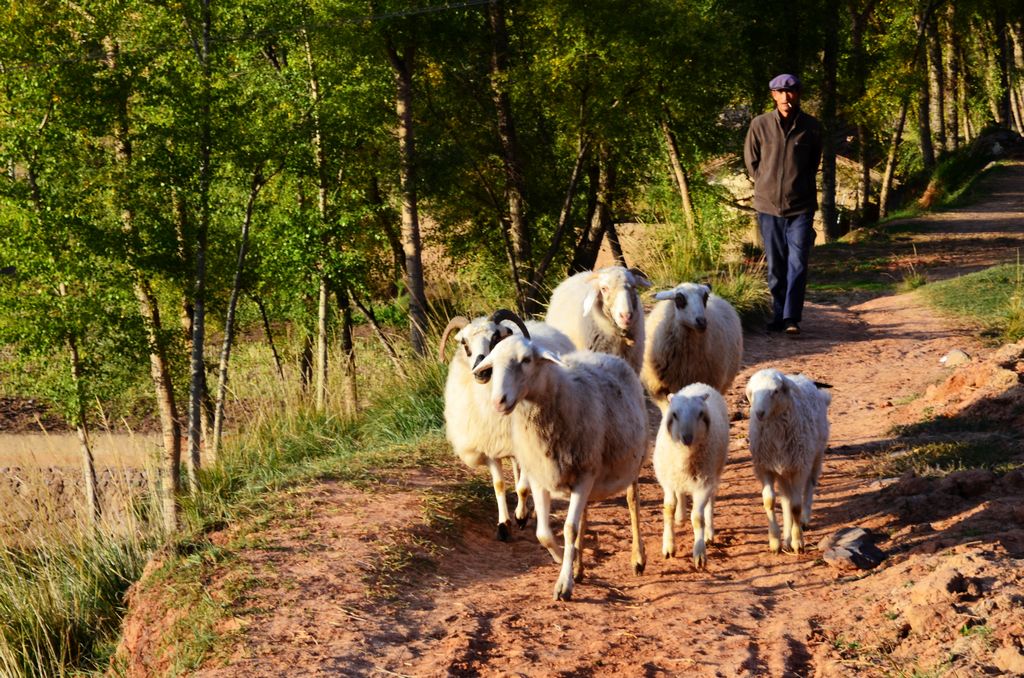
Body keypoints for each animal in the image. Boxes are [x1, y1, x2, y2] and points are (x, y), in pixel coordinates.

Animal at [438, 309, 577, 540]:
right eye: (464, 343)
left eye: (495, 337)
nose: (480, 372)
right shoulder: (490, 445)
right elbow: (499, 485)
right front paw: (503, 524)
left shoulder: (529, 444)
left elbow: (522, 488)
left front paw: (521, 516)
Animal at [473, 337, 647, 602]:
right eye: (493, 364)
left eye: (526, 360)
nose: (498, 401)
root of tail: (608, 356)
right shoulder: (540, 476)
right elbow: (543, 533)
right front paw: (562, 559)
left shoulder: (585, 474)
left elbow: (569, 529)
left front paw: (564, 585)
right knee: (584, 515)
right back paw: (579, 567)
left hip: (630, 463)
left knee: (632, 503)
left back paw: (637, 558)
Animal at [651, 383, 733, 569]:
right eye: (674, 414)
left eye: (700, 414)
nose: (686, 437)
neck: (685, 456)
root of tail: (699, 384)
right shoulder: (668, 481)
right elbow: (668, 508)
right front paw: (668, 547)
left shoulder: (704, 484)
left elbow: (697, 518)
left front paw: (700, 553)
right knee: (680, 494)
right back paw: (680, 517)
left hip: (715, 471)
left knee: (711, 501)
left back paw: (709, 533)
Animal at [745, 368, 831, 557]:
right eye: (752, 392)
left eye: (776, 391)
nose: (759, 413)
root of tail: (802, 378)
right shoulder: (765, 468)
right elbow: (770, 501)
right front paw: (775, 542)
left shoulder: (799, 467)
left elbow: (796, 506)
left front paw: (798, 542)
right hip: (784, 469)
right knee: (786, 500)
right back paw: (786, 537)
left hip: (814, 455)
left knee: (809, 486)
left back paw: (804, 520)